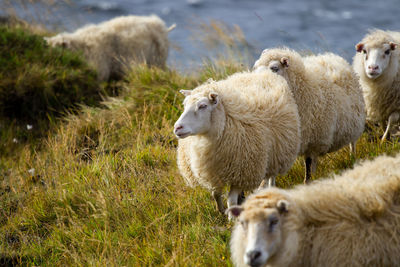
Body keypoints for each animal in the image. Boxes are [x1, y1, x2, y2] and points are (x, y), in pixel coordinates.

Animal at [173, 70, 302, 218]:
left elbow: (231, 200)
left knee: (271, 176)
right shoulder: (214, 171)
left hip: (277, 152)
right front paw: (221, 210)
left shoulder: (241, 172)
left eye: (203, 106)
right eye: (185, 105)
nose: (177, 128)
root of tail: (263, 72)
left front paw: (231, 218)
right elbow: (215, 193)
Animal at [253, 47, 366, 184]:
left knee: (352, 144)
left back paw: (352, 158)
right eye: (255, 66)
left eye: (274, 68)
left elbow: (308, 165)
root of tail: (332, 57)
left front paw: (307, 182)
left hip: (355, 126)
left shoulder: (313, 142)